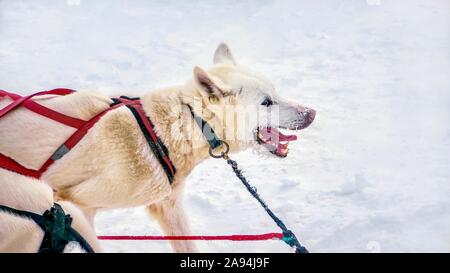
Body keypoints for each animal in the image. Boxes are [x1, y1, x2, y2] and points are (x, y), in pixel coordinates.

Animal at [0, 43, 314, 252]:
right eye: (266, 102)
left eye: (275, 91)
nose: (311, 113)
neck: (165, 131)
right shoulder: (76, 207)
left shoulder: (169, 207)